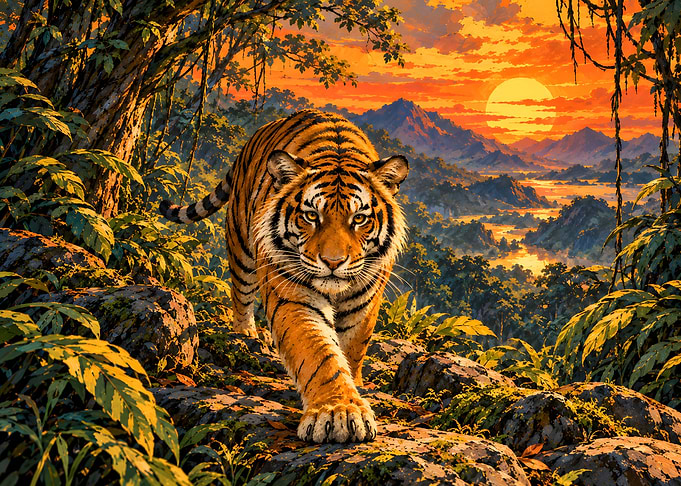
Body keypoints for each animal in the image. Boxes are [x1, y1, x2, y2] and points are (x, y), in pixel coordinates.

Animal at [160, 109, 408, 443]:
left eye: (359, 219)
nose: (333, 262)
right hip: (241, 244)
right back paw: (247, 334)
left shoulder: (364, 302)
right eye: (311, 216)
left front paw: (353, 389)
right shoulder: (293, 297)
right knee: (241, 295)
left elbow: (352, 350)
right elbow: (320, 355)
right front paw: (338, 412)